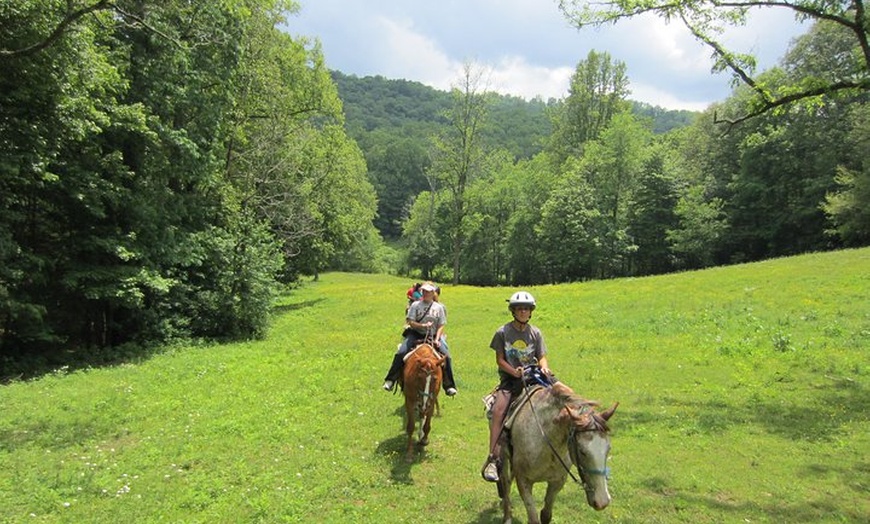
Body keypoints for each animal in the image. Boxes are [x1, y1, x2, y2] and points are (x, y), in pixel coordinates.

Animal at [498, 380, 620, 524]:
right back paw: (507, 516)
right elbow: (533, 518)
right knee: (505, 484)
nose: (602, 501)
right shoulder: (523, 481)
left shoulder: (557, 482)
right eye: (582, 451)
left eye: (608, 449)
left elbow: (546, 515)